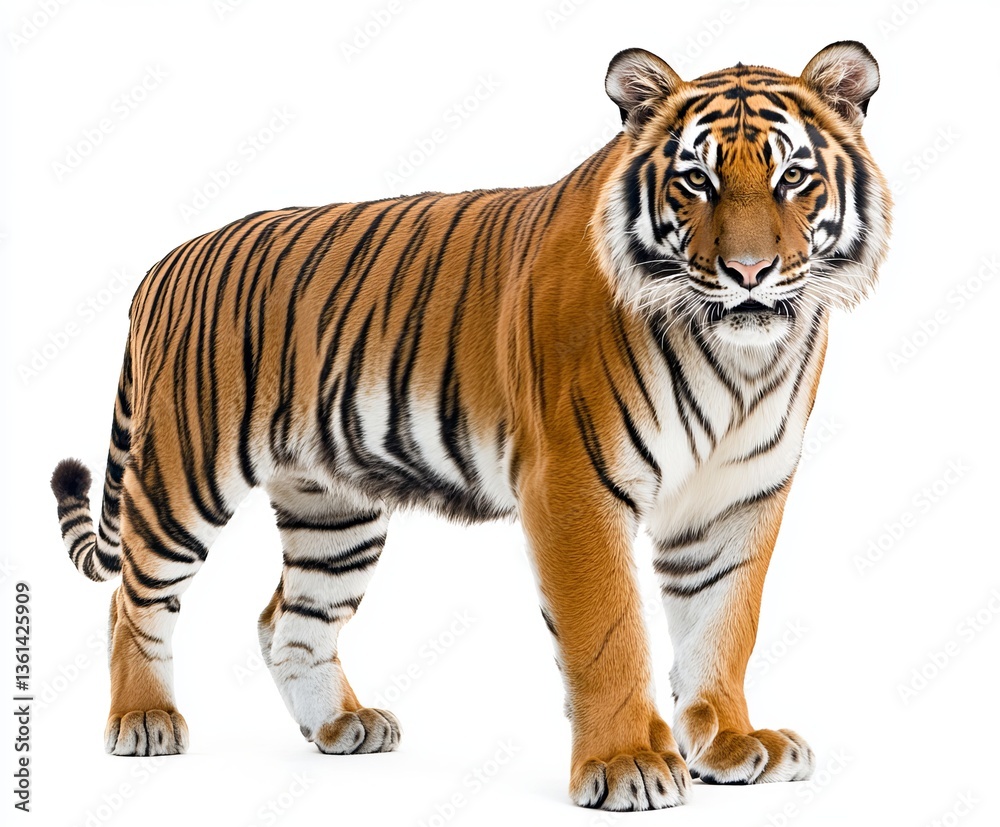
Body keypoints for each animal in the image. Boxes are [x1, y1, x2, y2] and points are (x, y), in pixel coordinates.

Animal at [50, 41, 890, 811]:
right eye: (696, 180)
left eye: (792, 178)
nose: (749, 273)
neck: (739, 360)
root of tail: (167, 261)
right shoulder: (575, 484)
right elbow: (609, 631)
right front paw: (626, 762)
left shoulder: (738, 497)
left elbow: (724, 624)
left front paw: (732, 742)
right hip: (185, 473)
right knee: (134, 597)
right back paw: (145, 720)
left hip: (334, 510)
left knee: (289, 617)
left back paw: (342, 725)